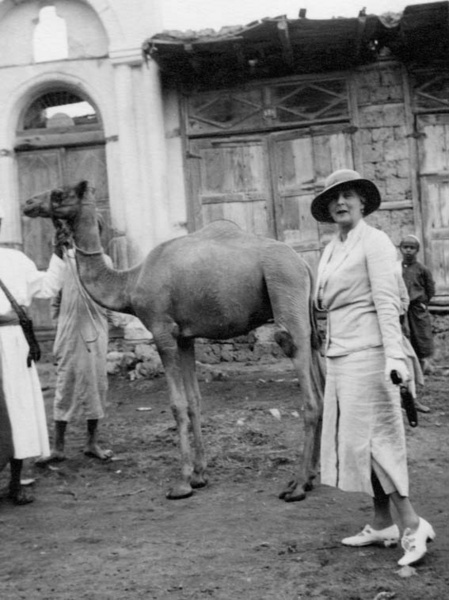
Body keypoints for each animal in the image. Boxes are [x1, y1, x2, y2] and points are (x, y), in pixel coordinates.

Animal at [24, 180, 324, 500]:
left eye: (59, 193)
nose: (28, 203)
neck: (129, 282)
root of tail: (304, 263)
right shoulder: (185, 338)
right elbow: (193, 401)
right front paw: (200, 475)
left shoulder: (162, 330)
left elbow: (177, 405)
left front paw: (182, 482)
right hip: (304, 312)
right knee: (318, 375)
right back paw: (312, 475)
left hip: (285, 287)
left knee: (305, 385)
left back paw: (298, 485)